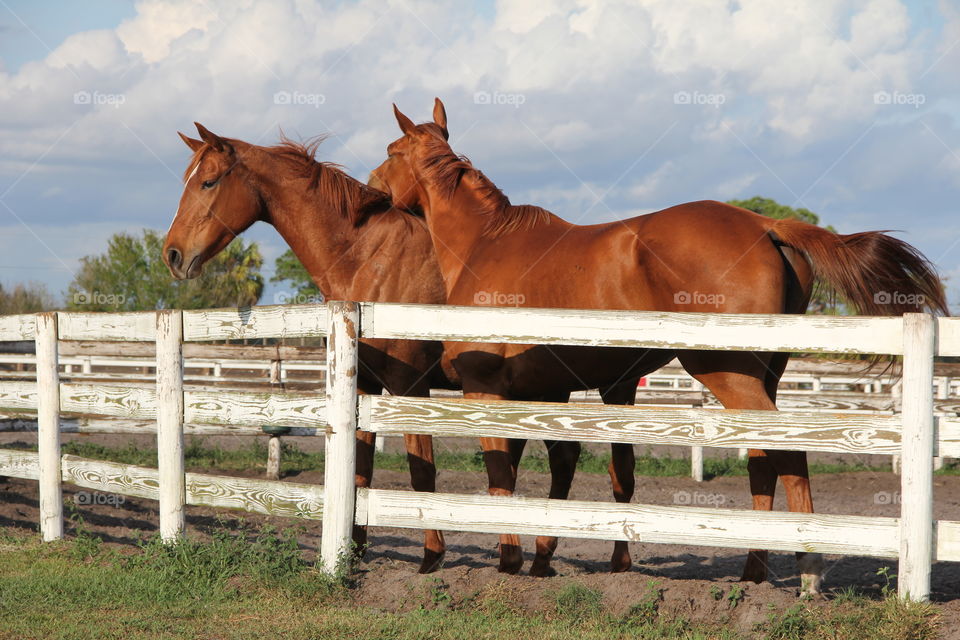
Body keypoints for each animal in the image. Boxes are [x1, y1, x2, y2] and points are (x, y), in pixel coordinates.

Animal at [372, 97, 948, 592]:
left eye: (391, 152)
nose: (375, 188)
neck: (486, 244)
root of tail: (764, 224)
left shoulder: (485, 390)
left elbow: (500, 475)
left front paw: (511, 563)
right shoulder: (542, 394)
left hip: (727, 375)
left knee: (785, 450)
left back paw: (806, 570)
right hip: (761, 377)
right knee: (763, 459)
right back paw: (755, 572)